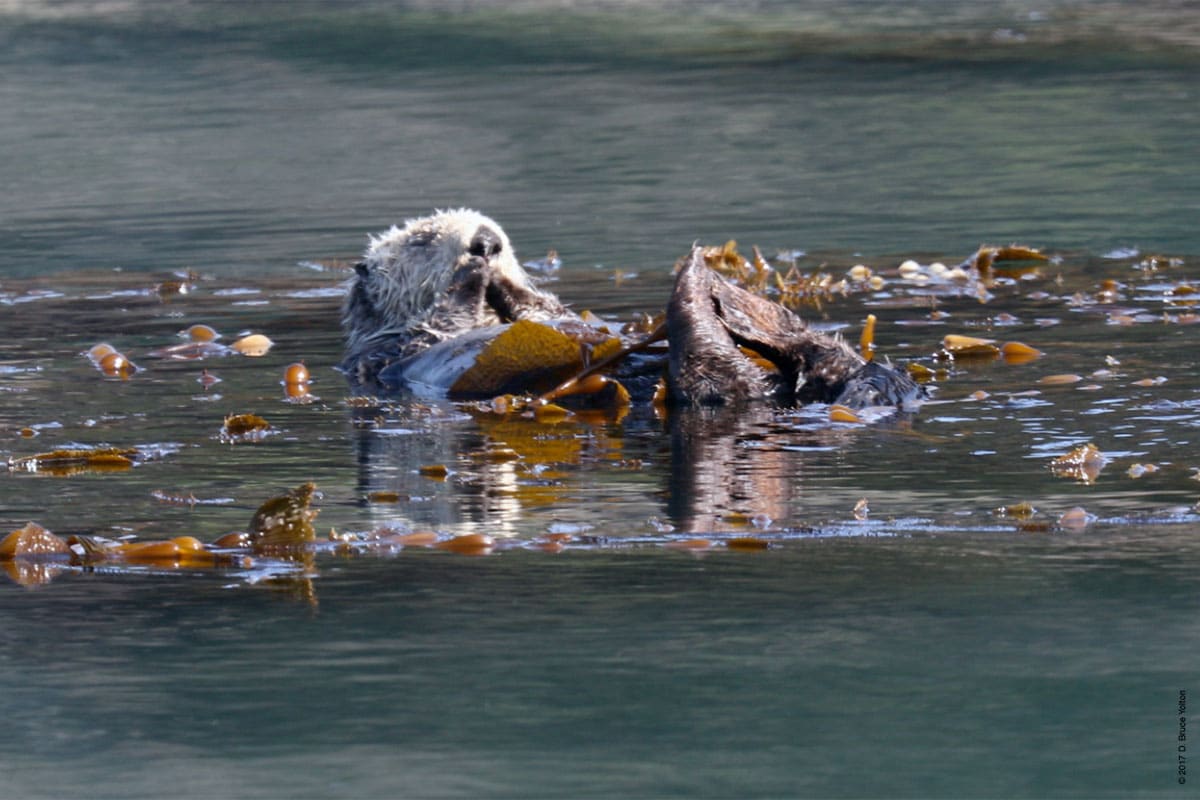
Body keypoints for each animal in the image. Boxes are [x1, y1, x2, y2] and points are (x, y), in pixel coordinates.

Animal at [343, 209, 921, 410]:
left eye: (498, 230)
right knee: (718, 379)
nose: (487, 242)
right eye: (422, 239)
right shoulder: (388, 351)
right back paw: (700, 284)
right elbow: (440, 322)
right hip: (709, 384)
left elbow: (545, 308)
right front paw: (471, 279)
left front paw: (511, 287)